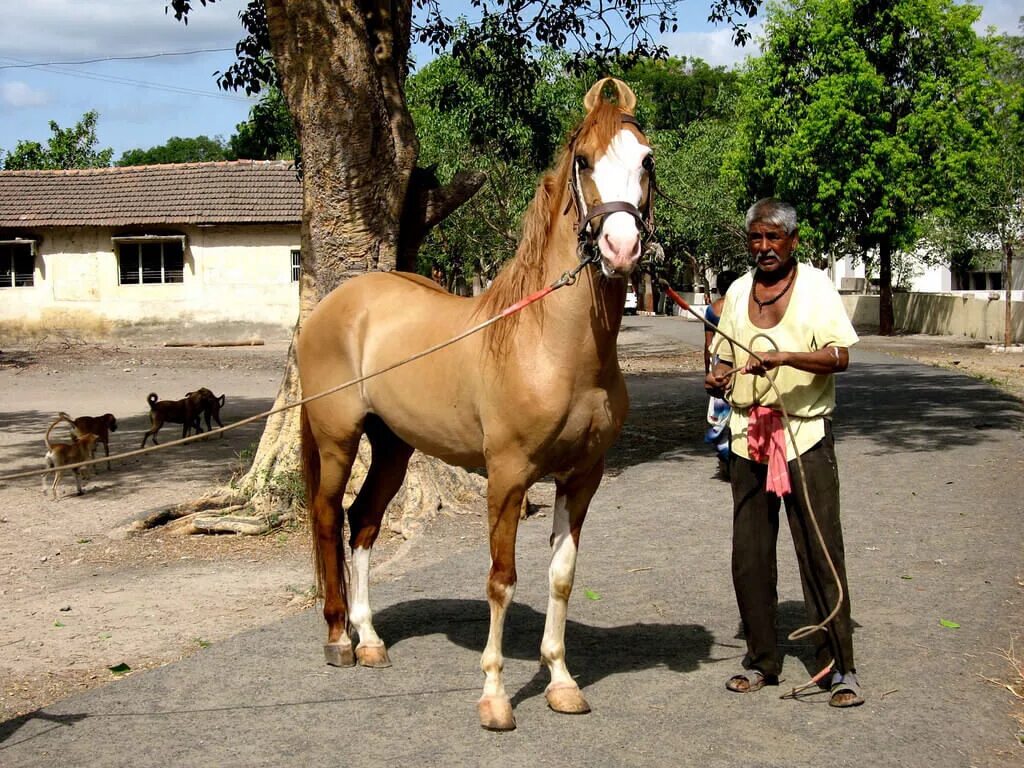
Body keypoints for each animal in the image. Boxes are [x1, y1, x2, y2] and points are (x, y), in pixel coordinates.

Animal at [294, 78, 655, 733]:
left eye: (646, 161)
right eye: (584, 160)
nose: (621, 247)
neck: (548, 342)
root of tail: (339, 305)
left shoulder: (582, 478)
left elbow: (561, 578)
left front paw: (561, 683)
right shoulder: (508, 479)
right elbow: (501, 581)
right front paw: (494, 697)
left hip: (394, 447)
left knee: (364, 522)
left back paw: (369, 639)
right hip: (338, 440)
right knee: (328, 517)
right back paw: (338, 639)